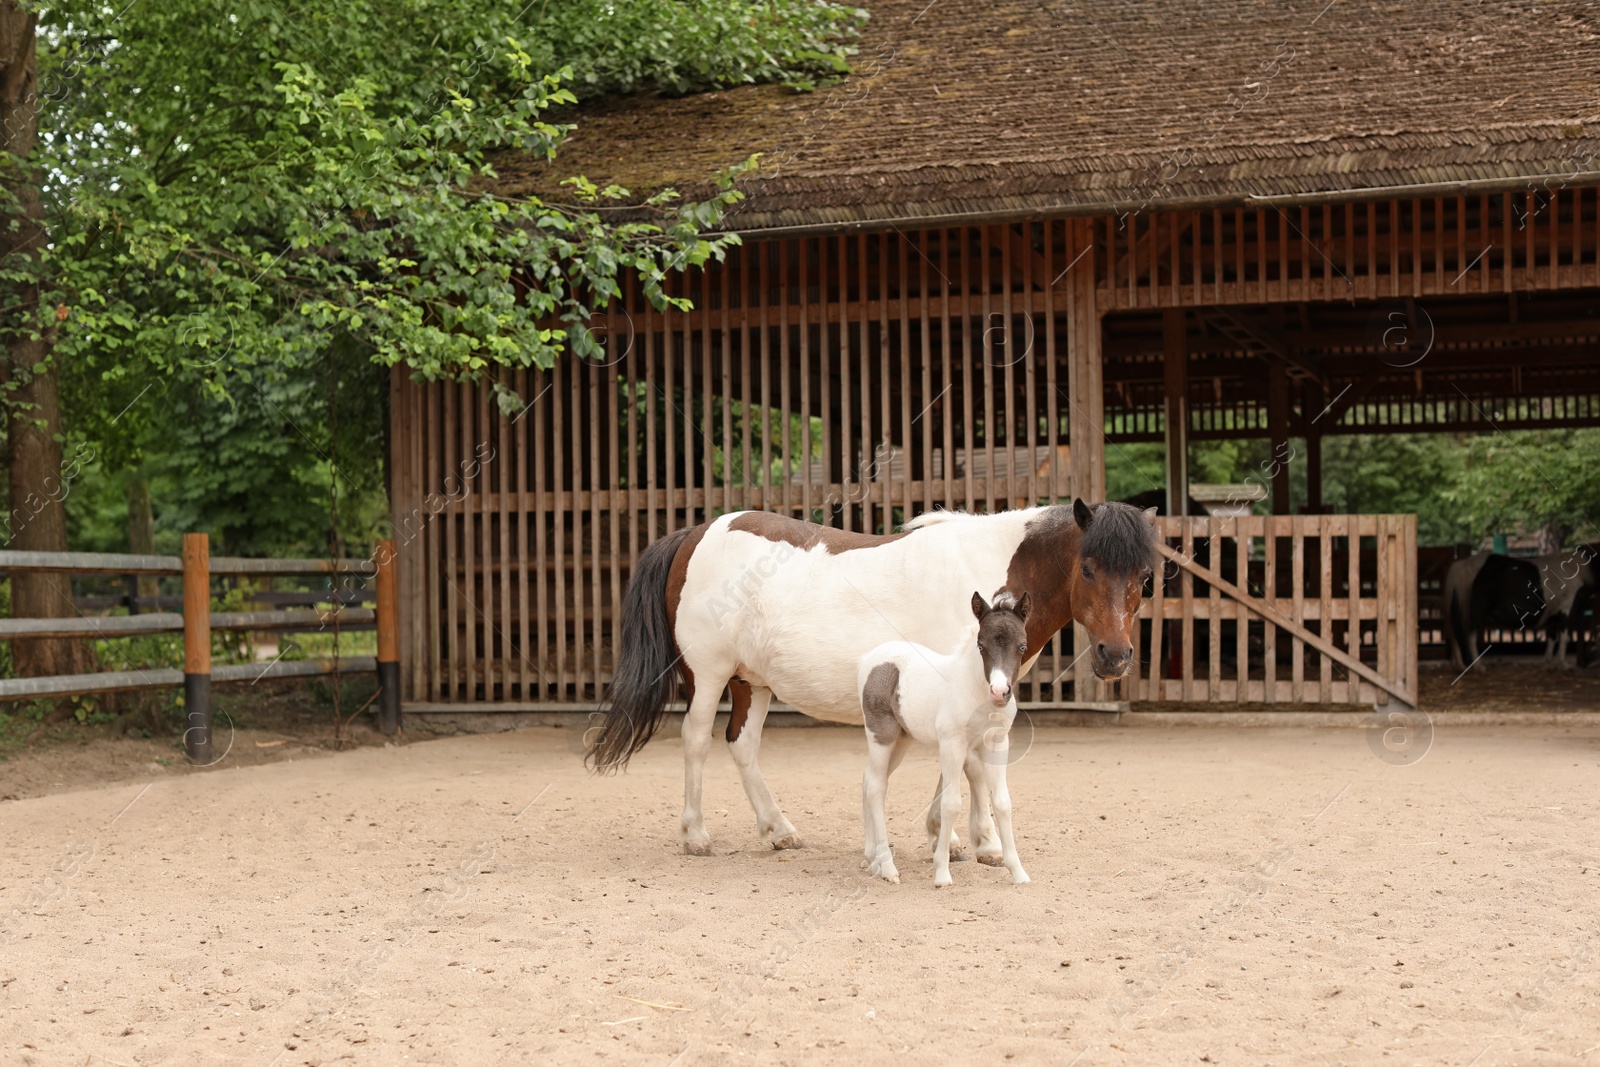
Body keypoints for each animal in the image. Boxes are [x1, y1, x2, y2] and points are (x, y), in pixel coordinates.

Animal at [857, 591, 1030, 883]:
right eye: (981, 646)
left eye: (1022, 646)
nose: (999, 692)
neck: (976, 693)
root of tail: (868, 659)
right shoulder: (952, 744)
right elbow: (951, 804)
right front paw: (942, 873)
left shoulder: (997, 743)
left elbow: (1002, 803)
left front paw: (1017, 872)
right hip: (881, 735)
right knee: (878, 787)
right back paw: (889, 868)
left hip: (901, 740)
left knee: (869, 780)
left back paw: (874, 860)